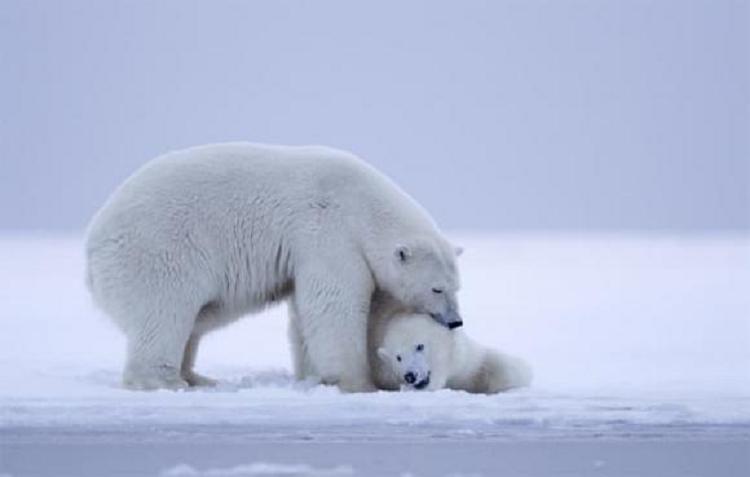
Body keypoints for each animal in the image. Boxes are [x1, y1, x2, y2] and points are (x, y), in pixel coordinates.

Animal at [85, 141, 462, 390]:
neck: (360, 203)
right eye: (437, 288)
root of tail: (92, 246)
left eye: (457, 286)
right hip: (159, 250)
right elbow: (333, 304)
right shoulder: (328, 232)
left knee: (193, 320)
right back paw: (164, 380)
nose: (456, 321)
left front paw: (313, 375)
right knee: (166, 312)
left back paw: (197, 377)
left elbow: (304, 315)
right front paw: (357, 382)